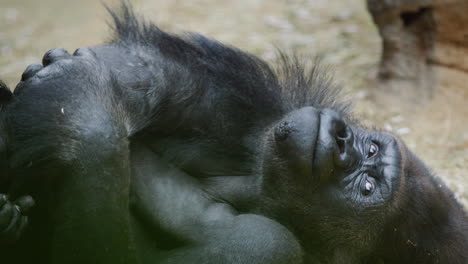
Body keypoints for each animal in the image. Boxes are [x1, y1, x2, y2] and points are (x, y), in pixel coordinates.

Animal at [0, 4, 466, 264]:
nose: (340, 138)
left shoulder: (267, 245)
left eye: (366, 187)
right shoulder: (266, 113)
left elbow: (100, 250)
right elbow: (177, 78)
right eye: (369, 147)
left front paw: (84, 111)